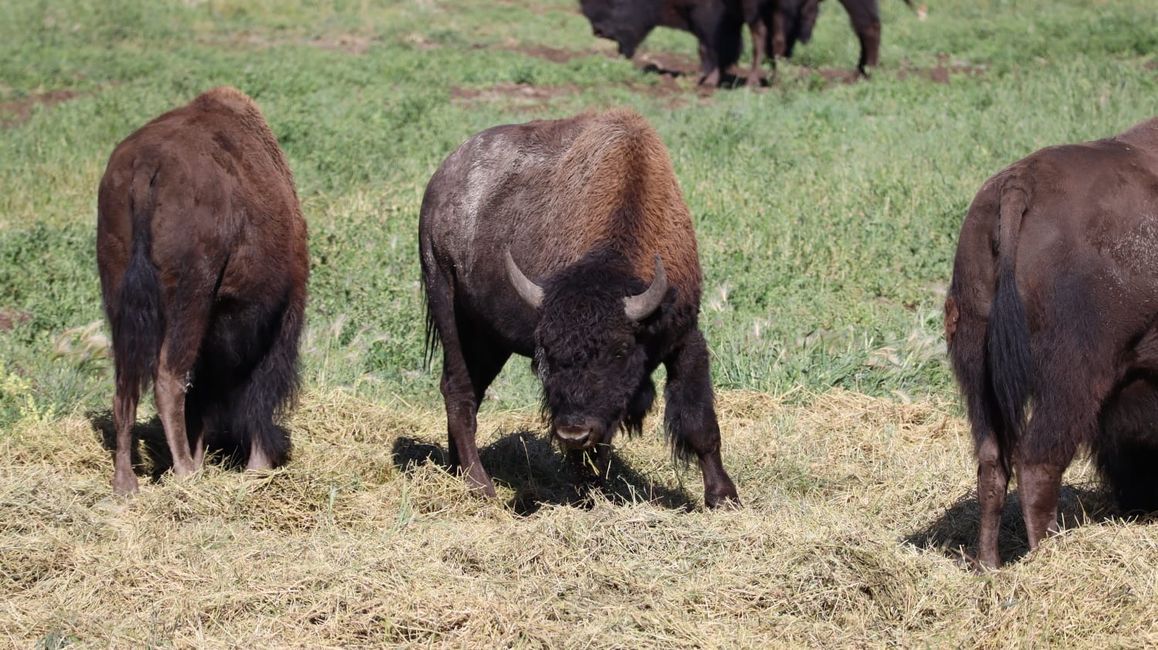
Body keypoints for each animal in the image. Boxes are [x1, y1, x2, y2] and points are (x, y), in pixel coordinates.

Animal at [97, 86, 309, 495]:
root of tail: (147, 165)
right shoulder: (282, 315)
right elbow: (260, 387)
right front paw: (257, 467)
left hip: (118, 294)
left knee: (125, 386)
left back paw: (126, 484)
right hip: (191, 298)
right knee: (169, 379)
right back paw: (185, 473)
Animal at [419, 109, 740, 508]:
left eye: (619, 351)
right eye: (545, 354)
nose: (573, 432)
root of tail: (440, 182)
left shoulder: (684, 337)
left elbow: (700, 423)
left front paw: (724, 497)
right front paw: (589, 490)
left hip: (488, 338)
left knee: (470, 391)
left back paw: (457, 470)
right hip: (446, 301)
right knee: (459, 391)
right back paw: (480, 486)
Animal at [945, 117, 1158, 567]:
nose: (1139, 503)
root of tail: (1019, 183)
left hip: (977, 368)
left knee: (993, 463)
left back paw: (988, 567)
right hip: (1072, 377)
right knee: (1038, 462)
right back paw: (1048, 556)